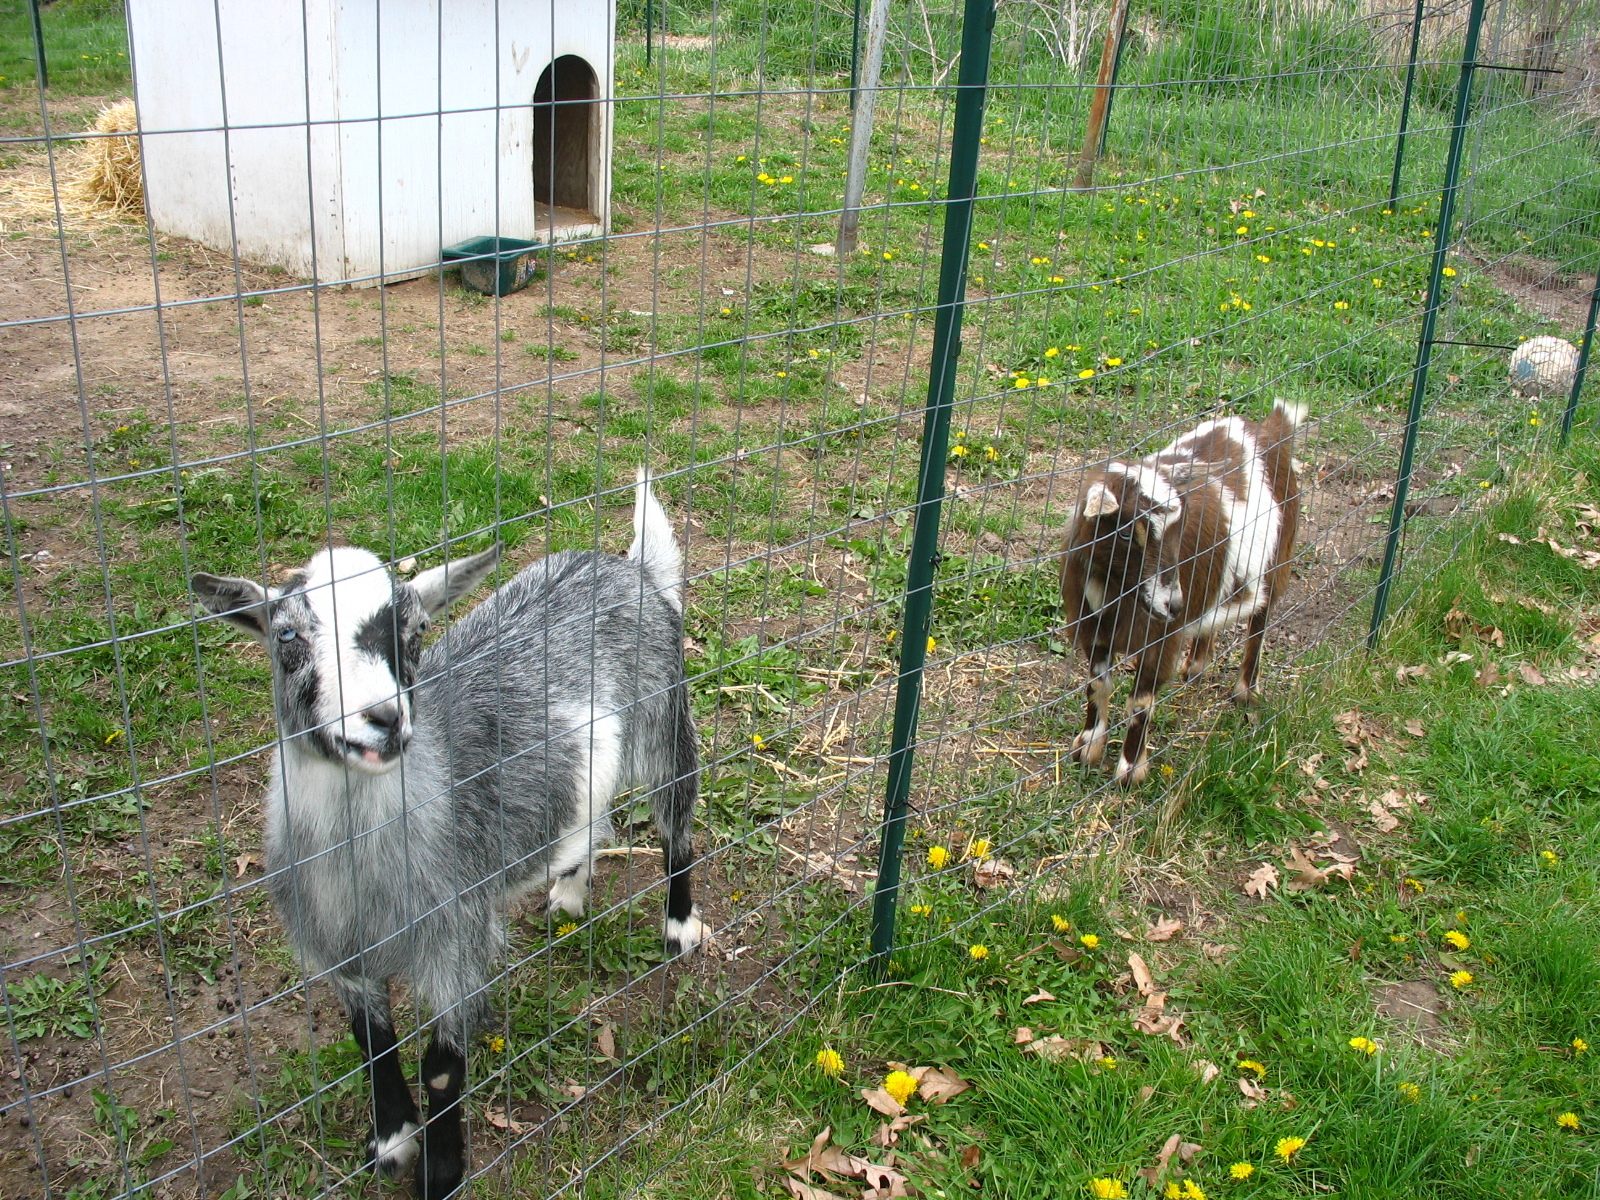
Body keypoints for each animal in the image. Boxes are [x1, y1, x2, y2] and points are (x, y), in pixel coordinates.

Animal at [192, 470, 702, 1199]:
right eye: (287, 637)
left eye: (416, 630)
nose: (382, 720)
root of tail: (628, 567)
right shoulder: (341, 950)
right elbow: (371, 1040)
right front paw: (390, 1141)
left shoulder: (454, 939)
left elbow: (440, 1065)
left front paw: (440, 1173)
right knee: (590, 817)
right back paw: (569, 892)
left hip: (665, 722)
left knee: (677, 824)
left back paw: (679, 927)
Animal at [1058, 401, 1305, 785]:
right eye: (1126, 532)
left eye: (1178, 524)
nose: (1173, 602)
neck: (1118, 590)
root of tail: (1272, 426)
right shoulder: (1094, 625)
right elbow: (1097, 686)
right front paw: (1087, 747)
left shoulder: (1160, 637)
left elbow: (1140, 702)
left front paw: (1130, 770)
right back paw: (1197, 666)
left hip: (1278, 558)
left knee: (1259, 622)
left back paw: (1245, 691)